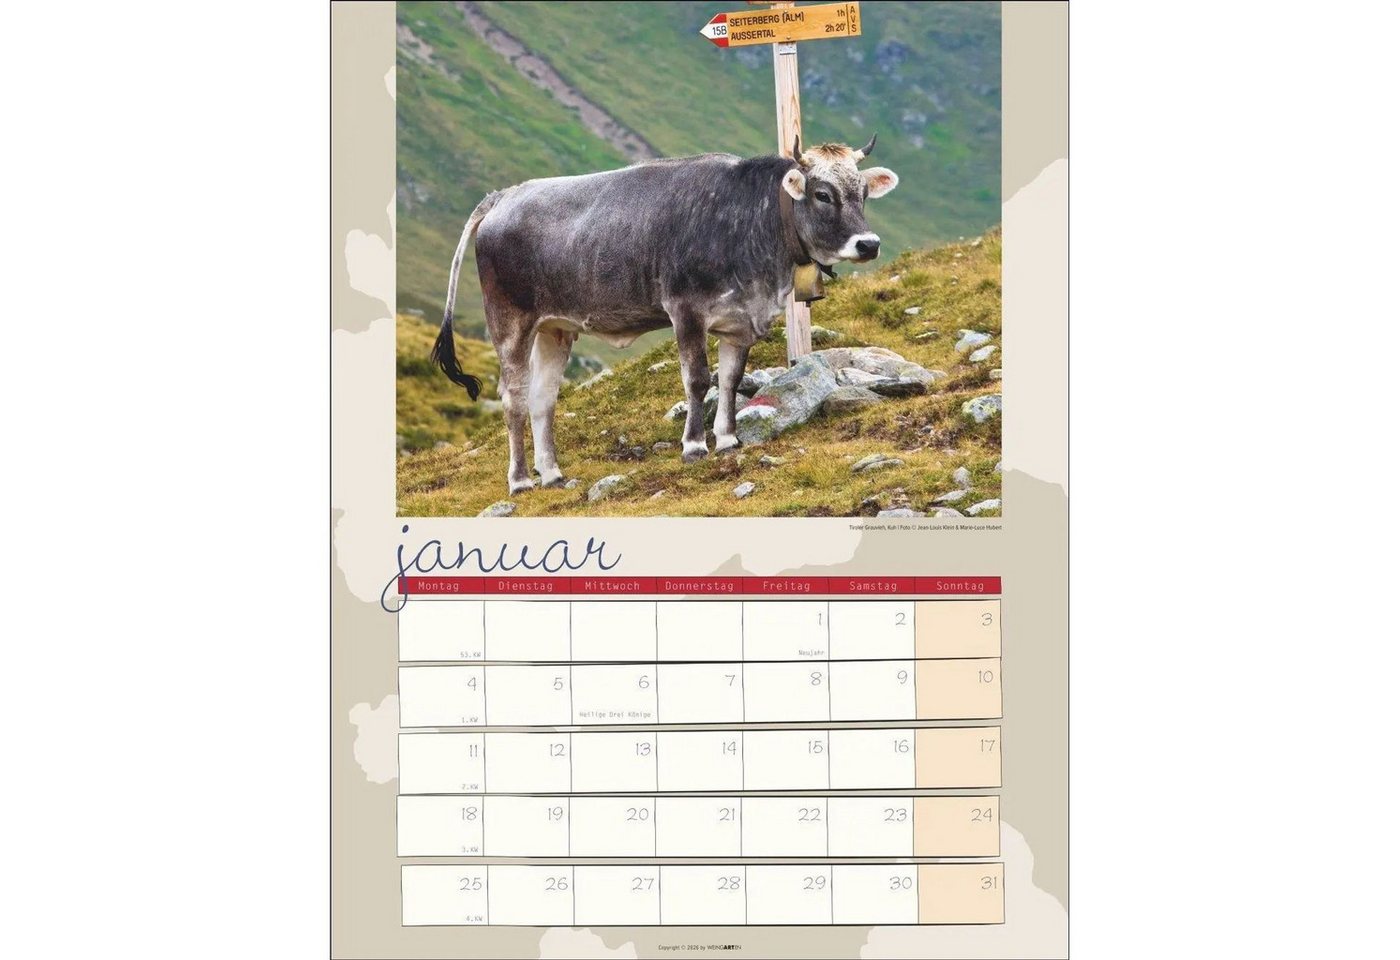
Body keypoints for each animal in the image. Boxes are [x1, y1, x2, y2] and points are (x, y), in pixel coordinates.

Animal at [431, 134, 899, 494]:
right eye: (822, 194)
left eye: (862, 193)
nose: (869, 244)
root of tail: (504, 196)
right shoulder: (686, 311)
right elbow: (697, 380)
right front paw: (694, 445)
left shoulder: (739, 321)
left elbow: (729, 379)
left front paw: (727, 438)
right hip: (509, 323)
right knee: (513, 398)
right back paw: (520, 480)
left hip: (555, 328)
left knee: (542, 399)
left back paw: (552, 474)